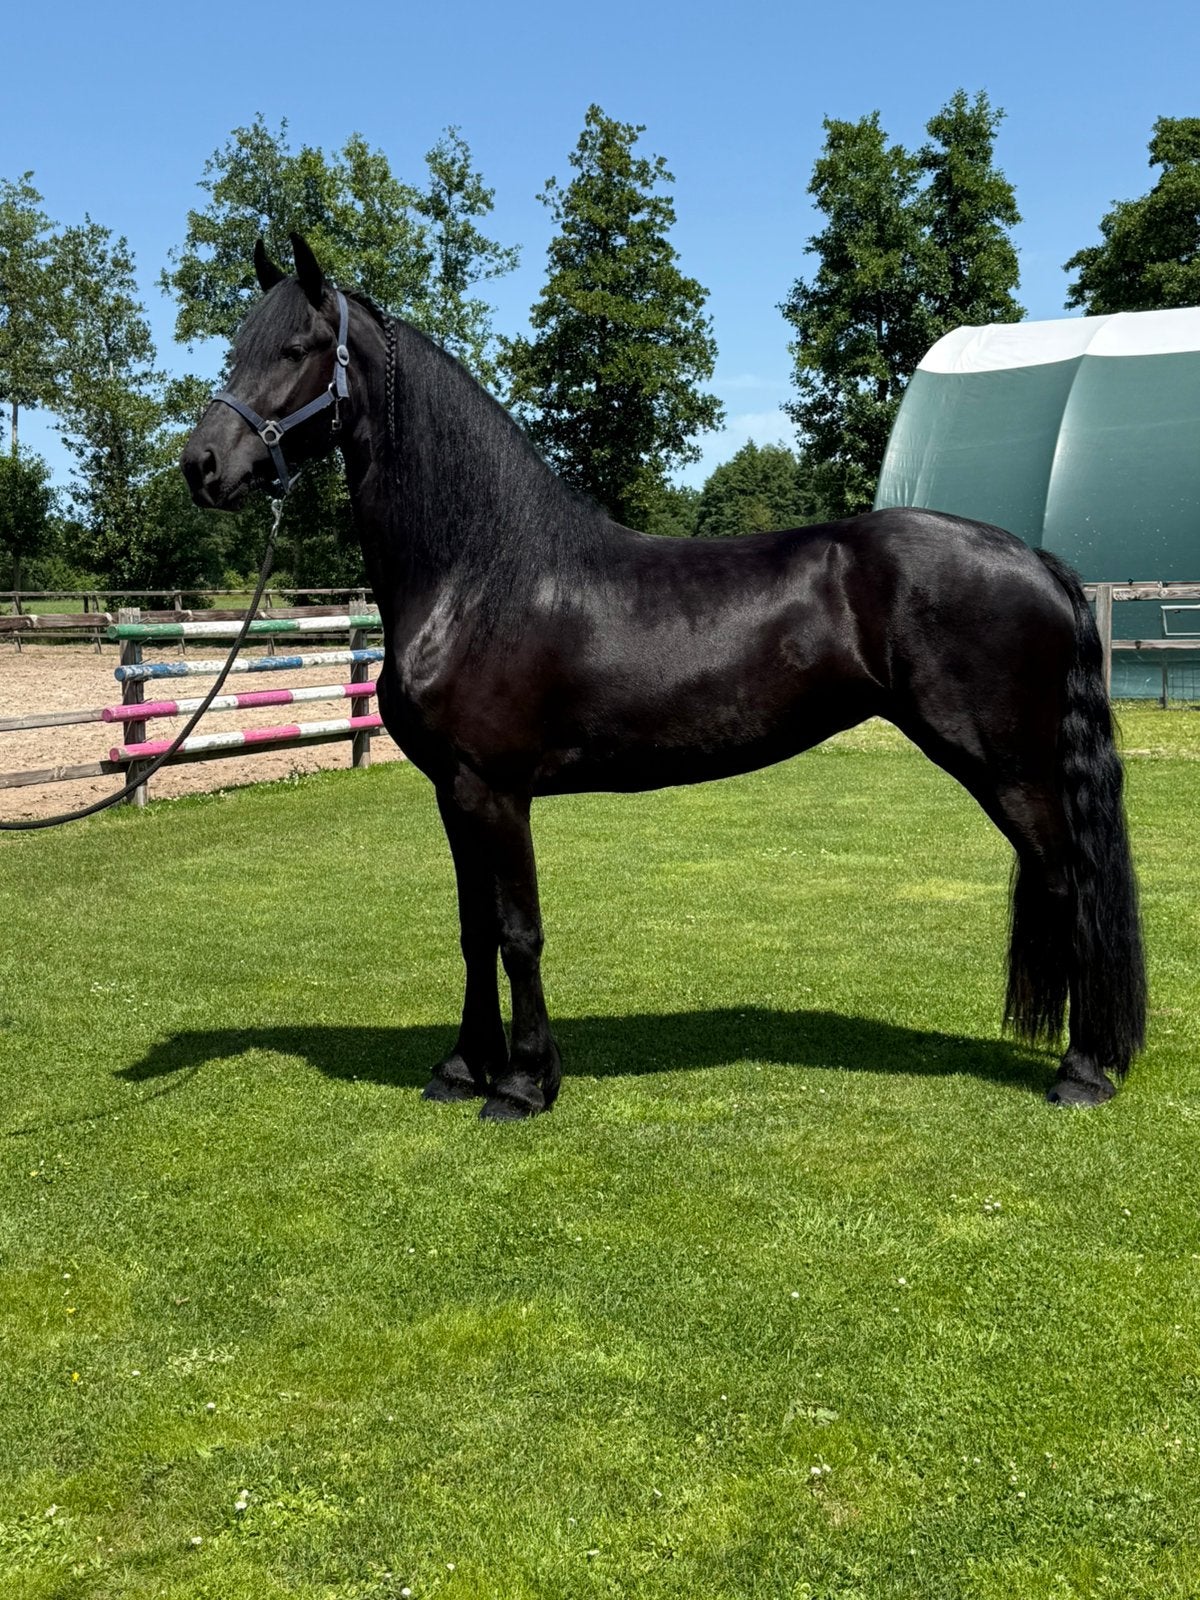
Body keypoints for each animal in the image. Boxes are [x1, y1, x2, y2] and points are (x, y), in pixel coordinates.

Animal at [181, 234, 1146, 1121]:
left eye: (296, 348)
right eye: (237, 346)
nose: (201, 466)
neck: (477, 572)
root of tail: (1035, 559)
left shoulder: (495, 790)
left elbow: (518, 931)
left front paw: (523, 1084)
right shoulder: (454, 792)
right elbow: (471, 930)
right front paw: (460, 1069)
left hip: (1012, 769)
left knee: (1072, 886)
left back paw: (1082, 1071)